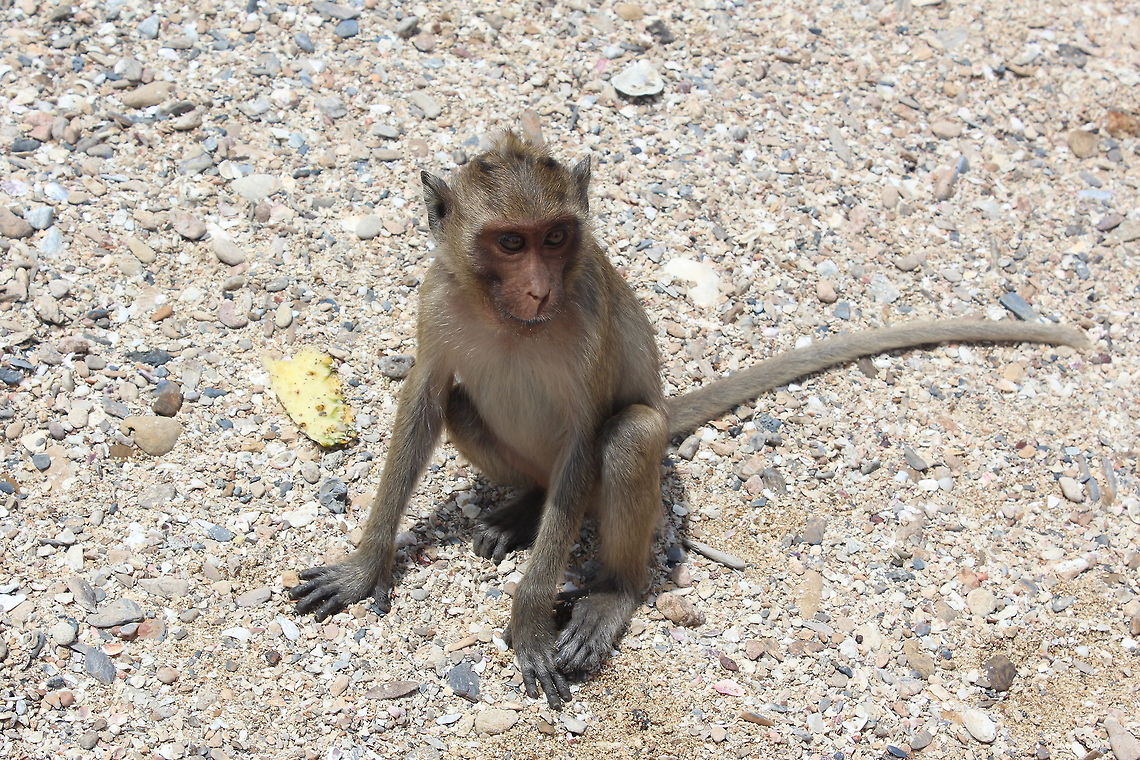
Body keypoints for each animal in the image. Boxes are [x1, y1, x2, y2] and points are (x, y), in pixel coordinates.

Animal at [290, 130, 1087, 709]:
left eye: (555, 238)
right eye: (510, 242)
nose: (540, 287)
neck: (508, 320)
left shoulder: (586, 318)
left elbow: (588, 436)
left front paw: (527, 618)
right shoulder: (437, 298)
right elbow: (425, 400)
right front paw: (365, 565)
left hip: (618, 473)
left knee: (629, 436)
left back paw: (611, 590)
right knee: (475, 416)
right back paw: (521, 509)